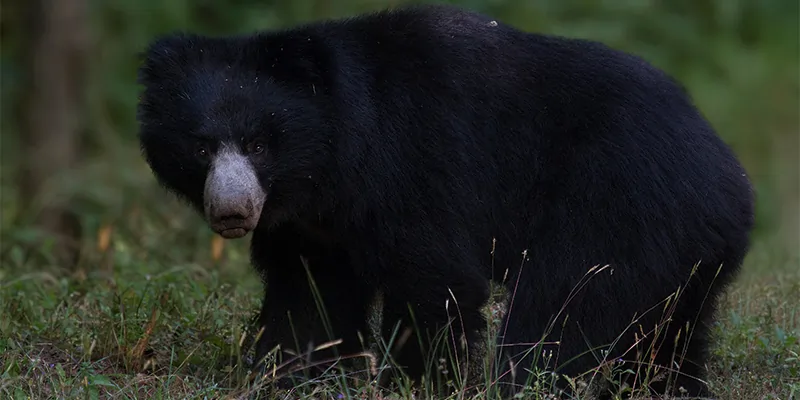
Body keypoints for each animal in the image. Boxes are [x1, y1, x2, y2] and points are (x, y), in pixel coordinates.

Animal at [136, 4, 754, 398]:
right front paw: (290, 374)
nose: (232, 212)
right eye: (201, 146)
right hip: (682, 252)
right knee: (668, 336)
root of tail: (731, 178)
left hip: (620, 208)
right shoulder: (312, 229)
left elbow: (435, 278)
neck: (328, 170)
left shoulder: (413, 165)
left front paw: (418, 381)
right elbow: (309, 295)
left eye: (260, 144)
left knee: (561, 311)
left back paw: (524, 384)